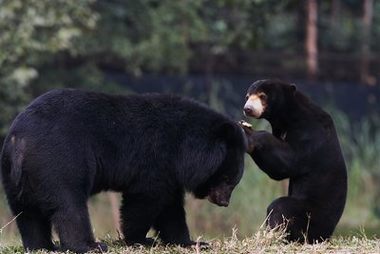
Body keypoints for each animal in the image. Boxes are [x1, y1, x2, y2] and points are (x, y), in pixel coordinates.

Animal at [0, 89, 246, 252]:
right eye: (227, 179)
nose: (224, 202)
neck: (185, 147)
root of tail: (18, 141)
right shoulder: (157, 158)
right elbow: (145, 199)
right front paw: (140, 239)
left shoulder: (170, 172)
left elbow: (170, 208)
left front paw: (193, 242)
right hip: (59, 162)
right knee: (69, 205)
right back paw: (90, 245)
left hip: (16, 178)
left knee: (27, 213)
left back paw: (41, 246)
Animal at [240, 79, 348, 242]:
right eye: (247, 96)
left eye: (262, 96)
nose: (248, 109)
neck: (287, 117)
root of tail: (327, 233)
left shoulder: (309, 131)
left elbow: (289, 161)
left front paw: (248, 133)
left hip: (311, 212)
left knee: (280, 207)